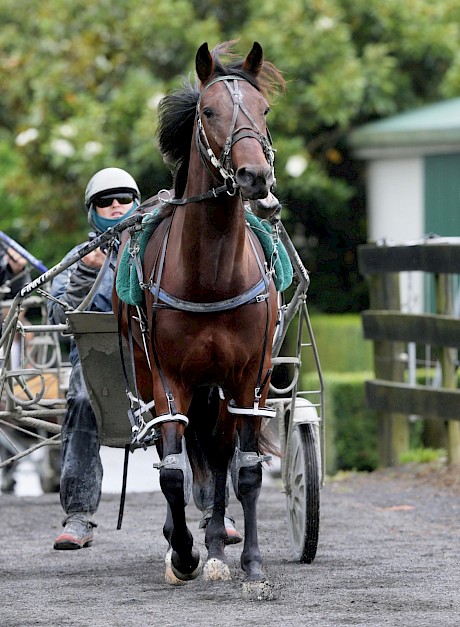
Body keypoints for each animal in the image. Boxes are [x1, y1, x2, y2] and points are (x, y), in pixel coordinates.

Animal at [114, 40, 284, 600]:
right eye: (208, 111)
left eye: (264, 110)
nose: (255, 177)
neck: (211, 276)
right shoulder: (170, 378)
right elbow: (171, 473)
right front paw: (184, 554)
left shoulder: (248, 378)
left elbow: (246, 471)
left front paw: (249, 562)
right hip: (154, 376)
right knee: (186, 456)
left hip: (224, 388)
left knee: (220, 453)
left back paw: (216, 539)